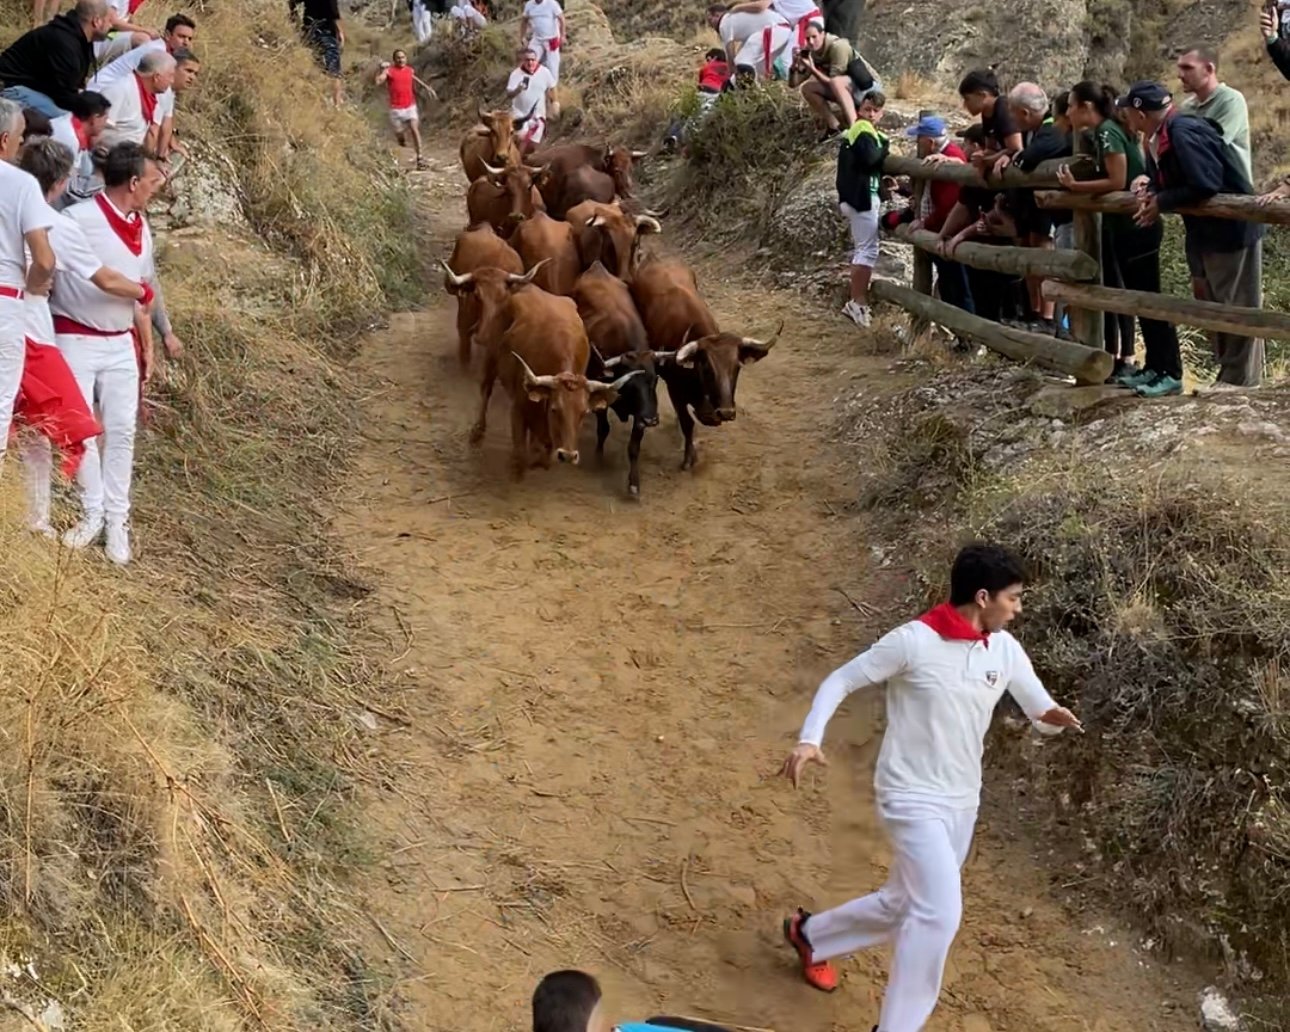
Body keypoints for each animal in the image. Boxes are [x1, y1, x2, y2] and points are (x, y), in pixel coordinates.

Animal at [443, 261, 639, 479]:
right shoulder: (518, 409)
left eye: (583, 413)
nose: (568, 455)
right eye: (555, 409)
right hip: (491, 356)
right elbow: (521, 456)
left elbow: (543, 455)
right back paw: (477, 432)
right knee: (486, 389)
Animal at [632, 255, 779, 469]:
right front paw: (688, 458)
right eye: (707, 368)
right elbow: (687, 423)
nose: (726, 412)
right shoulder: (675, 390)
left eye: (736, 368)